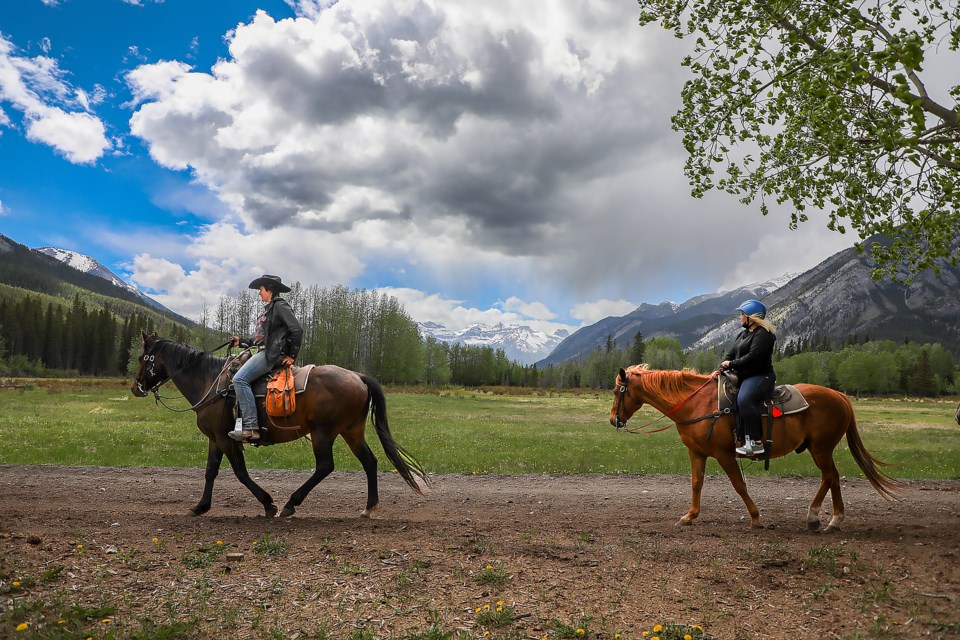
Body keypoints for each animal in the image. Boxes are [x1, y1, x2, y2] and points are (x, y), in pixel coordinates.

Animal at [130, 332, 428, 516]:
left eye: (142, 358)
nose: (136, 387)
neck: (210, 382)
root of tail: (358, 376)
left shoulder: (226, 438)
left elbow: (240, 472)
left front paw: (268, 504)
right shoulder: (216, 438)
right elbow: (210, 472)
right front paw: (201, 506)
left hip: (323, 433)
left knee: (325, 466)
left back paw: (291, 503)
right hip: (351, 431)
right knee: (370, 462)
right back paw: (369, 507)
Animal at [608, 362, 900, 532]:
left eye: (615, 391)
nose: (613, 420)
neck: (697, 405)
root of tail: (839, 396)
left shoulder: (724, 454)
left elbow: (739, 485)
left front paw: (756, 517)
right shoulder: (697, 452)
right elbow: (696, 483)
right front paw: (690, 516)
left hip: (821, 448)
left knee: (829, 476)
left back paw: (815, 517)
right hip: (820, 449)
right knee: (834, 478)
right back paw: (833, 520)